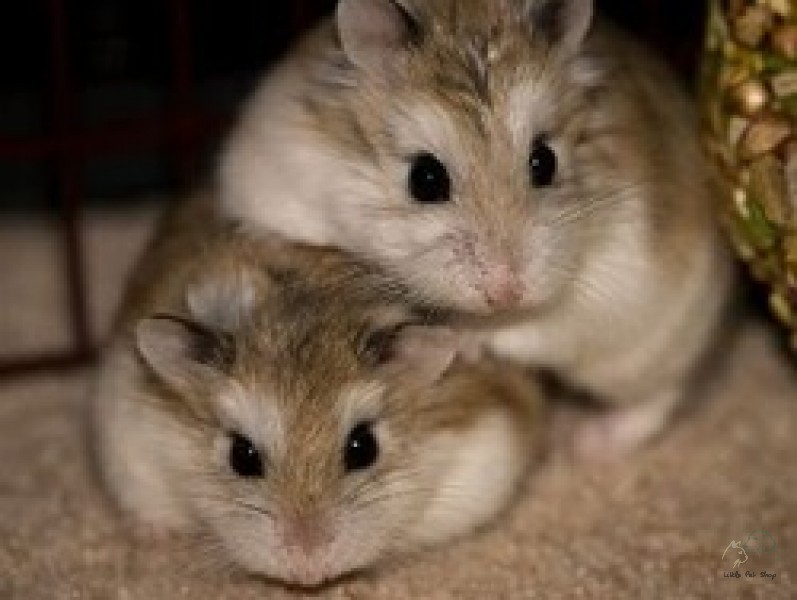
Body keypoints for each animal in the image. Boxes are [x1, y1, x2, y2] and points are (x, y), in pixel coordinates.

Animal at [218, 0, 735, 453]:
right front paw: (266, 241)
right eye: (425, 178)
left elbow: (524, 328)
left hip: (650, 346)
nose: (507, 292)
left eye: (545, 161)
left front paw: (460, 337)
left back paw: (587, 442)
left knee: (655, 398)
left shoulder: (599, 294)